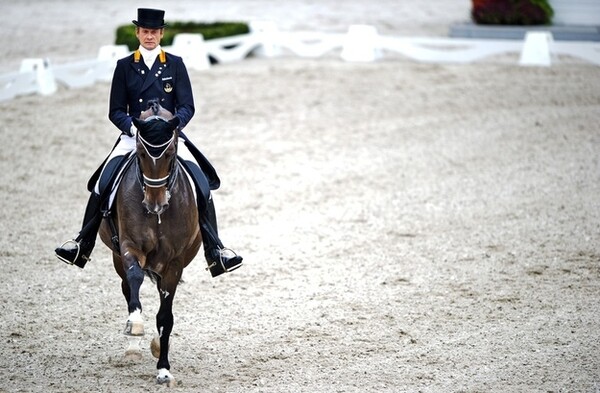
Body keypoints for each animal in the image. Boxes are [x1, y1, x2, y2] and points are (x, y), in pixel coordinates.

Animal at [99, 102, 200, 384]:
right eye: (141, 154)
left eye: (171, 154)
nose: (155, 204)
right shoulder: (130, 247)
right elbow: (135, 278)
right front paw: (135, 325)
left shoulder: (174, 263)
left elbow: (166, 317)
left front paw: (164, 369)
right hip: (117, 258)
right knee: (127, 288)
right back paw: (133, 347)